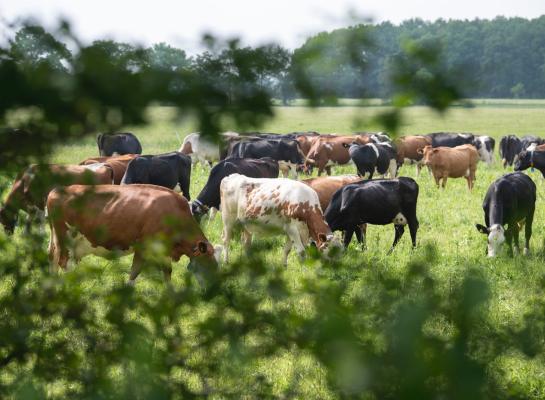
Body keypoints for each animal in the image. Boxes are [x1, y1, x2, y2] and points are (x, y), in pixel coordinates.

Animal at [45, 184, 219, 284]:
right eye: (208, 266)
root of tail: (55, 190)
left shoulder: (164, 250)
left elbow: (167, 272)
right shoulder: (143, 246)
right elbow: (134, 272)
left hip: (57, 239)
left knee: (52, 257)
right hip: (65, 238)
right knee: (63, 262)